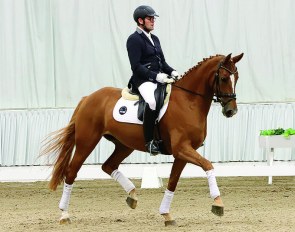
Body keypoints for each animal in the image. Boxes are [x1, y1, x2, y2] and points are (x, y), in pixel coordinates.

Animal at [41, 52, 245, 227]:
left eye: (236, 77)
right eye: (224, 78)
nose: (231, 111)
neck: (188, 101)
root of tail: (87, 98)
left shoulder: (182, 153)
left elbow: (173, 182)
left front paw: (166, 215)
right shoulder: (182, 149)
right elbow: (208, 165)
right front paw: (218, 203)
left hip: (124, 145)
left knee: (108, 166)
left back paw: (132, 195)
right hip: (87, 142)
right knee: (71, 172)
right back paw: (64, 214)